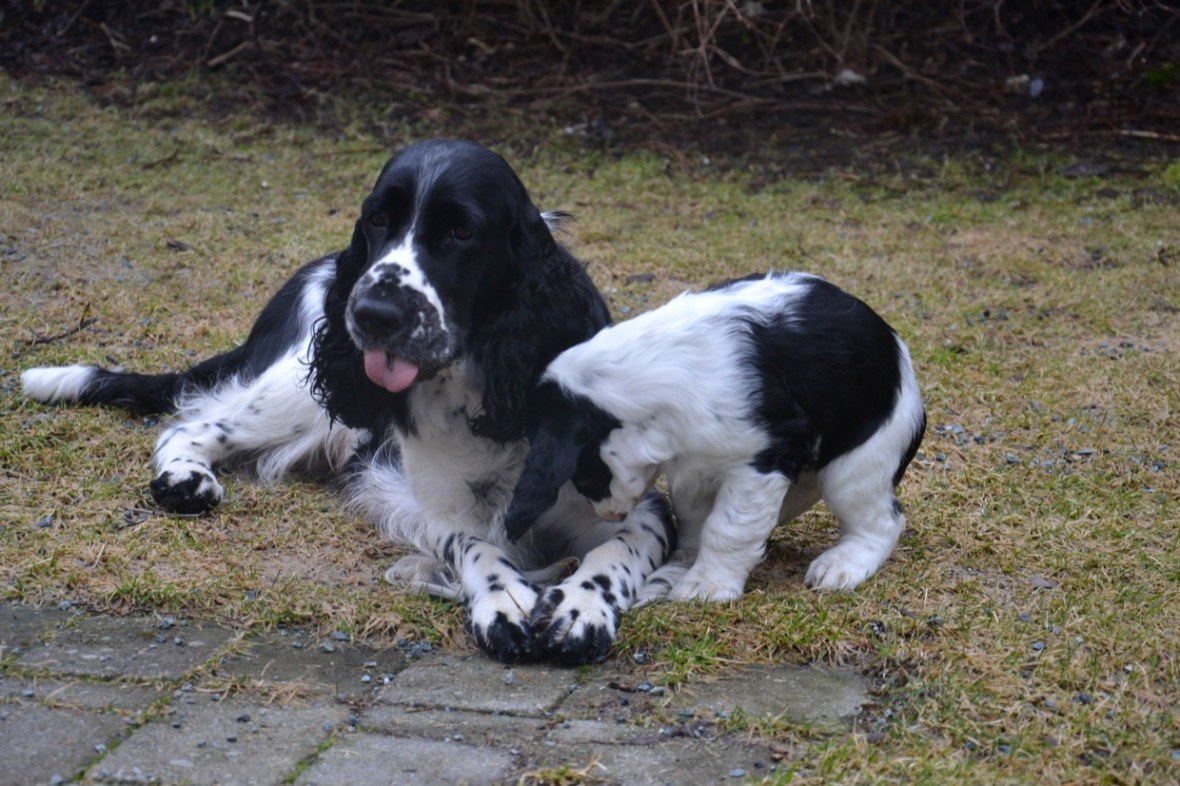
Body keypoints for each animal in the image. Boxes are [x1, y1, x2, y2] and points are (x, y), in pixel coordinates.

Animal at [22, 139, 674, 665]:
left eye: (461, 232)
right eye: (378, 219)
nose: (372, 312)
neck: (480, 392)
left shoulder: (631, 503)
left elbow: (620, 546)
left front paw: (581, 608)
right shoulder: (426, 500)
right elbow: (474, 544)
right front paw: (504, 598)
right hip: (298, 396)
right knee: (192, 423)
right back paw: (185, 479)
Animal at [504, 270, 926, 601]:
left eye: (584, 473)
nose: (611, 515)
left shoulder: (763, 459)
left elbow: (728, 527)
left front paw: (706, 584)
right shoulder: (695, 465)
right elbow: (696, 518)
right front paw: (681, 566)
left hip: (859, 465)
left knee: (880, 521)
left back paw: (842, 565)